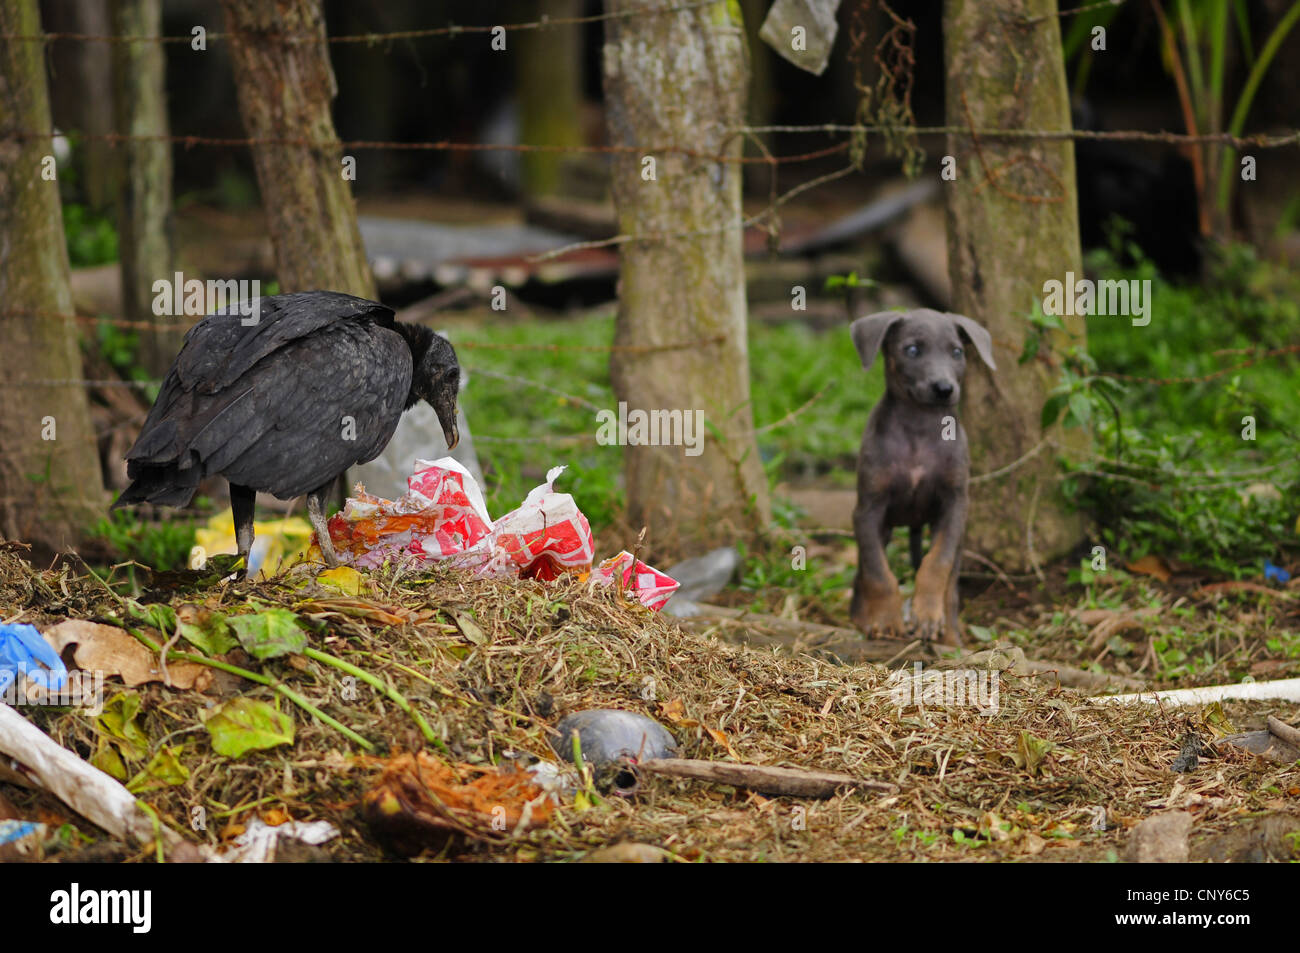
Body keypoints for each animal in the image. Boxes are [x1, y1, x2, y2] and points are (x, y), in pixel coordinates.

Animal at [852, 308, 993, 642]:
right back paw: (863, 619)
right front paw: (885, 619)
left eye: (957, 352)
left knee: (951, 587)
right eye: (912, 350)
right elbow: (877, 571)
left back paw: (950, 634)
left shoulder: (954, 506)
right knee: (863, 573)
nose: (943, 389)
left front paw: (927, 615)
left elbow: (937, 562)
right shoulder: (867, 510)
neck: (919, 426)